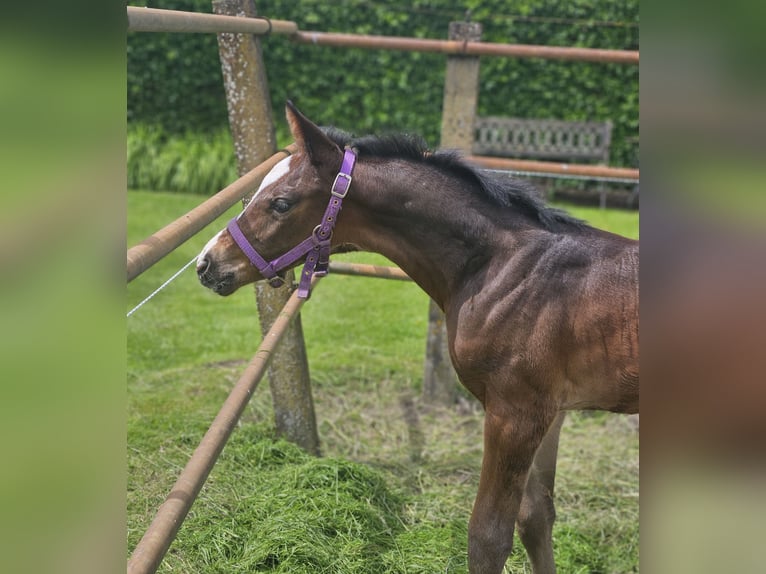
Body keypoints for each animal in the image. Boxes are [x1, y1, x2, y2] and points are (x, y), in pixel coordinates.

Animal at [198, 103, 640, 574]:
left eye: (281, 203)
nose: (207, 263)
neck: (504, 267)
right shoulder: (551, 412)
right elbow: (536, 516)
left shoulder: (515, 413)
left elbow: (488, 538)